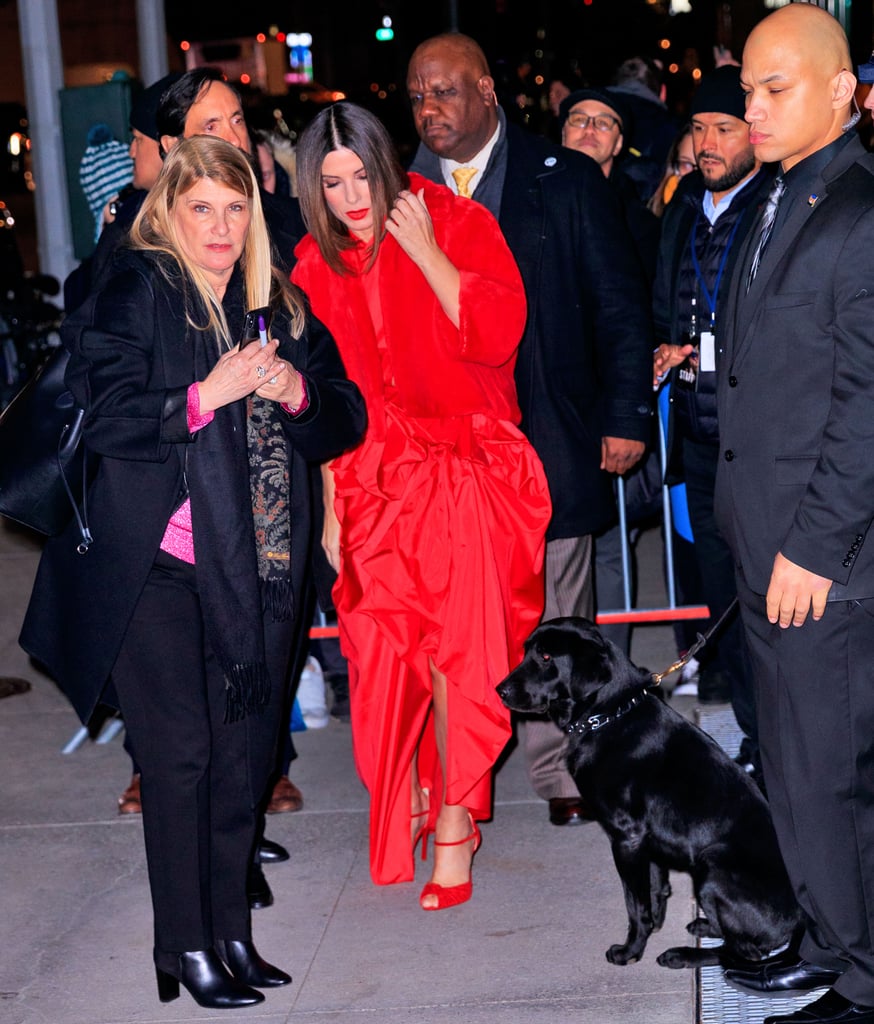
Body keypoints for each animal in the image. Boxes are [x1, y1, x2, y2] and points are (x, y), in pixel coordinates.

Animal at [495, 614, 802, 966]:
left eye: (546, 657)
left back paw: (682, 954)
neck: (610, 716)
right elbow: (655, 891)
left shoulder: (626, 838)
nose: (499, 690)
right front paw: (653, 927)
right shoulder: (647, 843)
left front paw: (630, 951)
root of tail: (800, 921)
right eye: (526, 651)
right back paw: (704, 926)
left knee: (742, 952)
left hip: (710, 866)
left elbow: (635, 905)